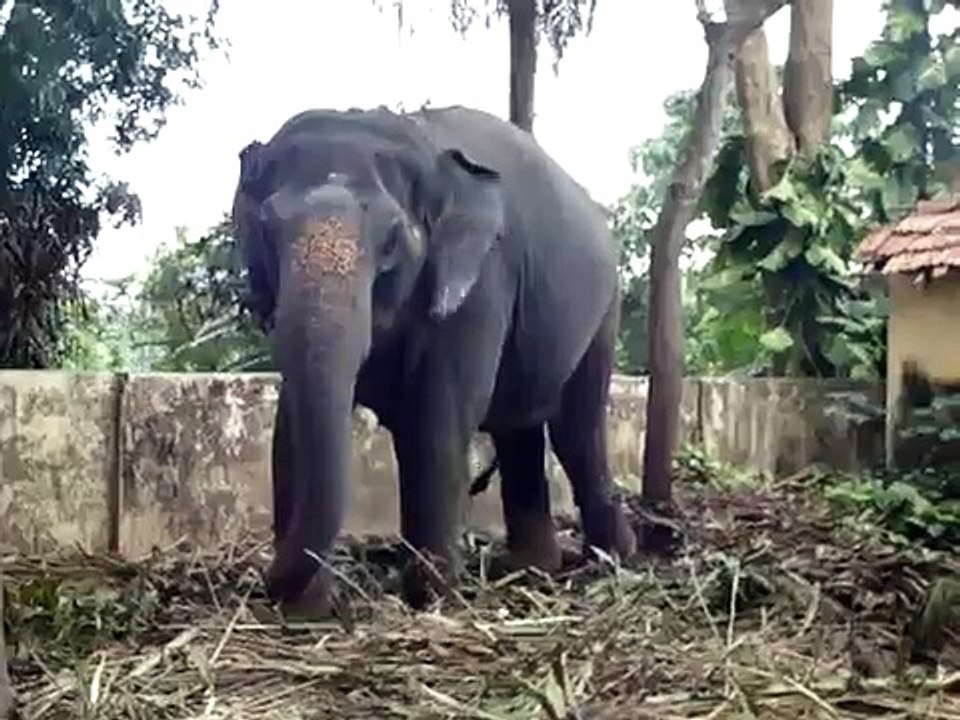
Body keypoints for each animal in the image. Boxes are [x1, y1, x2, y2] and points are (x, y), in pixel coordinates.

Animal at [232, 104, 637, 613]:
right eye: (266, 232)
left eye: (391, 242)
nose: (263, 582)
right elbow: (288, 430)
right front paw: (306, 613)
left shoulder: (482, 284)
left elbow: (438, 418)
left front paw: (430, 599)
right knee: (519, 429)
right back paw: (531, 568)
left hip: (604, 309)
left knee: (576, 430)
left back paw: (609, 561)